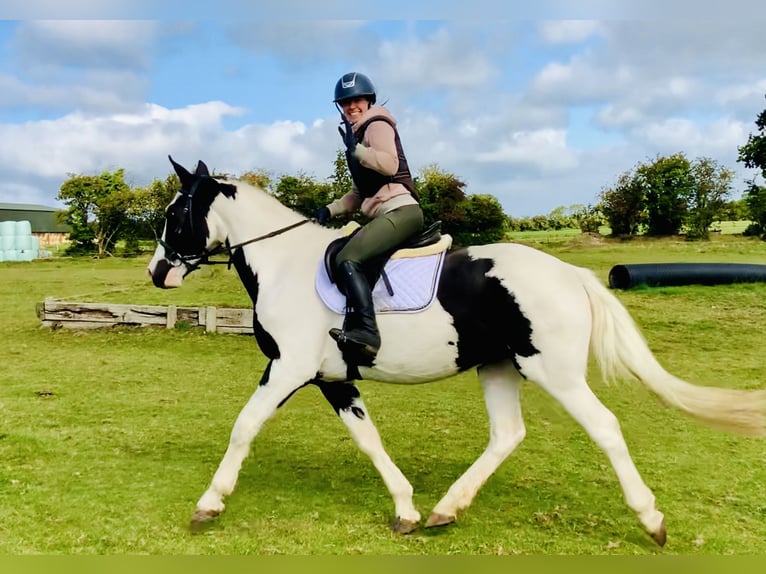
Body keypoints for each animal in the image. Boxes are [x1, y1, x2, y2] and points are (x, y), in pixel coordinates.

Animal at [146, 158, 766, 544]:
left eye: (176, 214)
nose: (156, 273)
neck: (285, 266)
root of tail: (571, 275)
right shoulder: (332, 379)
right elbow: (369, 440)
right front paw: (406, 508)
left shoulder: (288, 368)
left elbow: (244, 427)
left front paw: (209, 504)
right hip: (498, 367)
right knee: (507, 435)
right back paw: (447, 508)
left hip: (556, 373)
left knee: (606, 428)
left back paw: (650, 518)